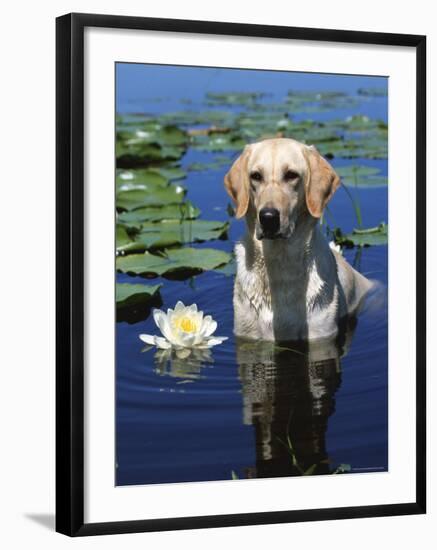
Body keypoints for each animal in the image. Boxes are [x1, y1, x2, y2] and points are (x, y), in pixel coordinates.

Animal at [225, 138, 372, 342]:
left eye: (291, 175)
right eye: (255, 176)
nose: (268, 217)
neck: (279, 262)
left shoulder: (321, 334)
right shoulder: (246, 332)